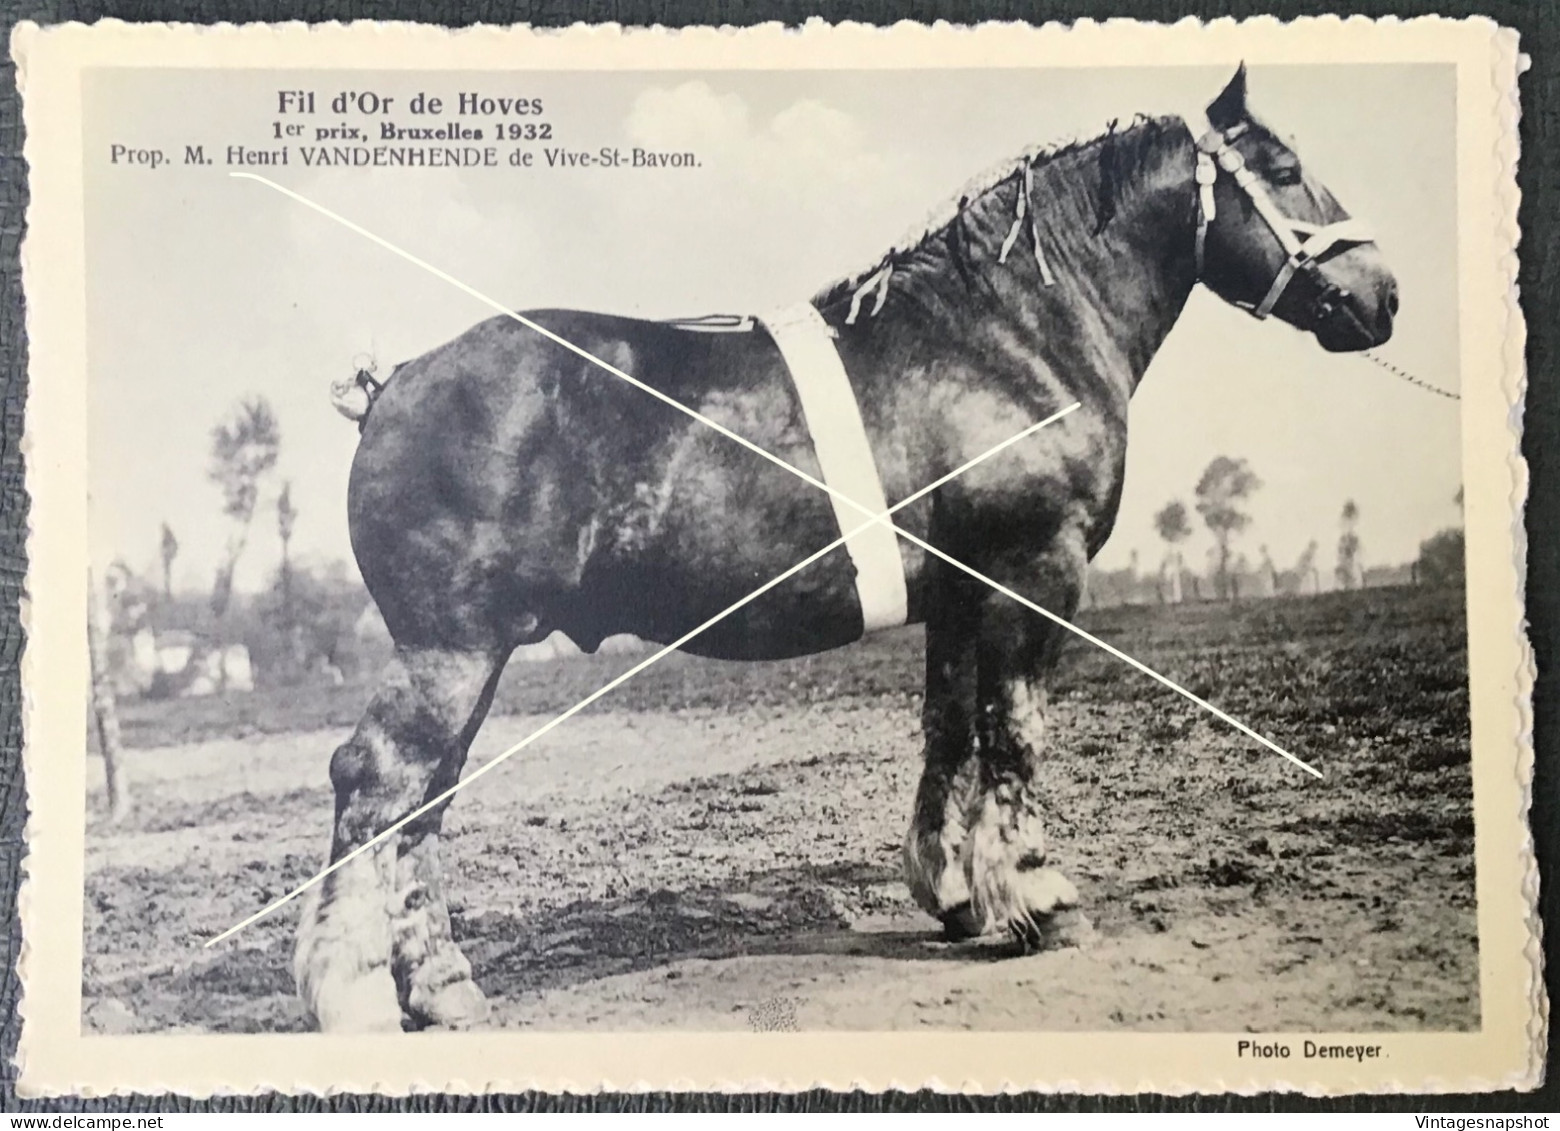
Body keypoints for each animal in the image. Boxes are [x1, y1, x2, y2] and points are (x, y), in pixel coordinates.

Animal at [293, 66, 1397, 1032]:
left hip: (472, 661)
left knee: (424, 806)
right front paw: (1040, 896)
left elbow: (951, 732)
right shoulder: (1033, 575)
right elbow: (1015, 733)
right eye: (1285, 166)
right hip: (451, 650)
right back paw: (354, 998)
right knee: (375, 780)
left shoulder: (959, 596)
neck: (1003, 336)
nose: (1382, 295)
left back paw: (443, 989)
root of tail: (392, 384)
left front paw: (957, 897)